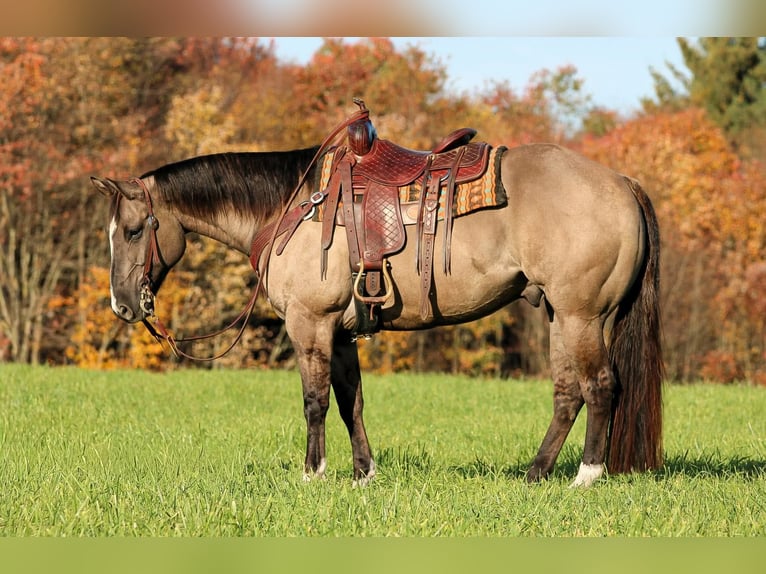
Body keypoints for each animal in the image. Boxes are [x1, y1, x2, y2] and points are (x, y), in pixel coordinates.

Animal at [91, 136, 663, 488]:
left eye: (135, 230)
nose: (123, 304)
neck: (291, 208)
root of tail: (622, 182)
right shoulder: (342, 333)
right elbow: (352, 404)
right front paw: (363, 473)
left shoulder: (310, 324)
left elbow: (315, 402)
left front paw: (313, 473)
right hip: (563, 318)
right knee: (568, 394)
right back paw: (535, 474)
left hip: (583, 317)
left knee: (600, 387)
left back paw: (585, 476)